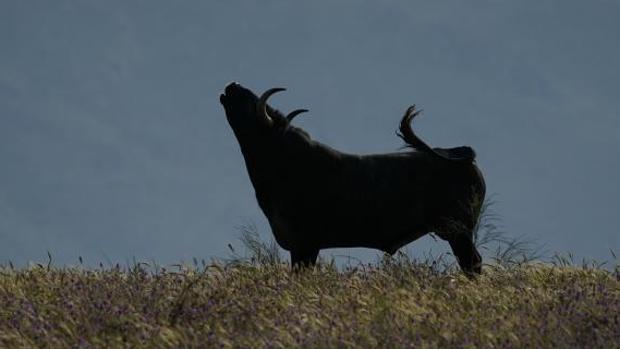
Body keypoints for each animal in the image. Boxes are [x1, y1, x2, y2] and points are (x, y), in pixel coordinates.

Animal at [220, 82, 486, 274]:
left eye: (252, 101)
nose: (232, 86)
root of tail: (460, 154)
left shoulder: (305, 245)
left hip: (458, 233)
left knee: (472, 264)